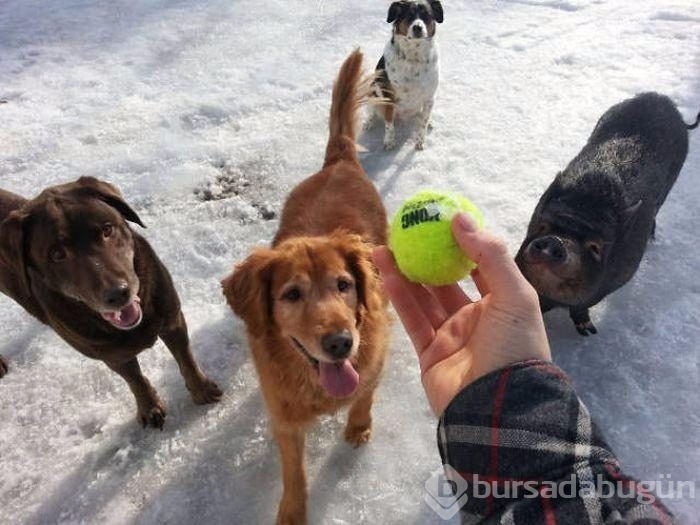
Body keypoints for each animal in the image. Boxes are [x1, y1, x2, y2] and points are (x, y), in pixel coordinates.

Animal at [372, 1, 442, 149]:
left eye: (427, 15)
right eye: (409, 15)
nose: (417, 28)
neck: (413, 58)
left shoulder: (429, 97)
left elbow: (423, 123)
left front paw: (420, 141)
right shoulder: (388, 97)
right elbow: (389, 123)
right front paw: (389, 141)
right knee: (372, 112)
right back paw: (369, 123)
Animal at [516, 91, 696, 334]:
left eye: (595, 247)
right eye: (542, 226)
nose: (555, 240)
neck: (585, 208)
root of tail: (662, 99)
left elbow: (582, 306)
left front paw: (588, 331)